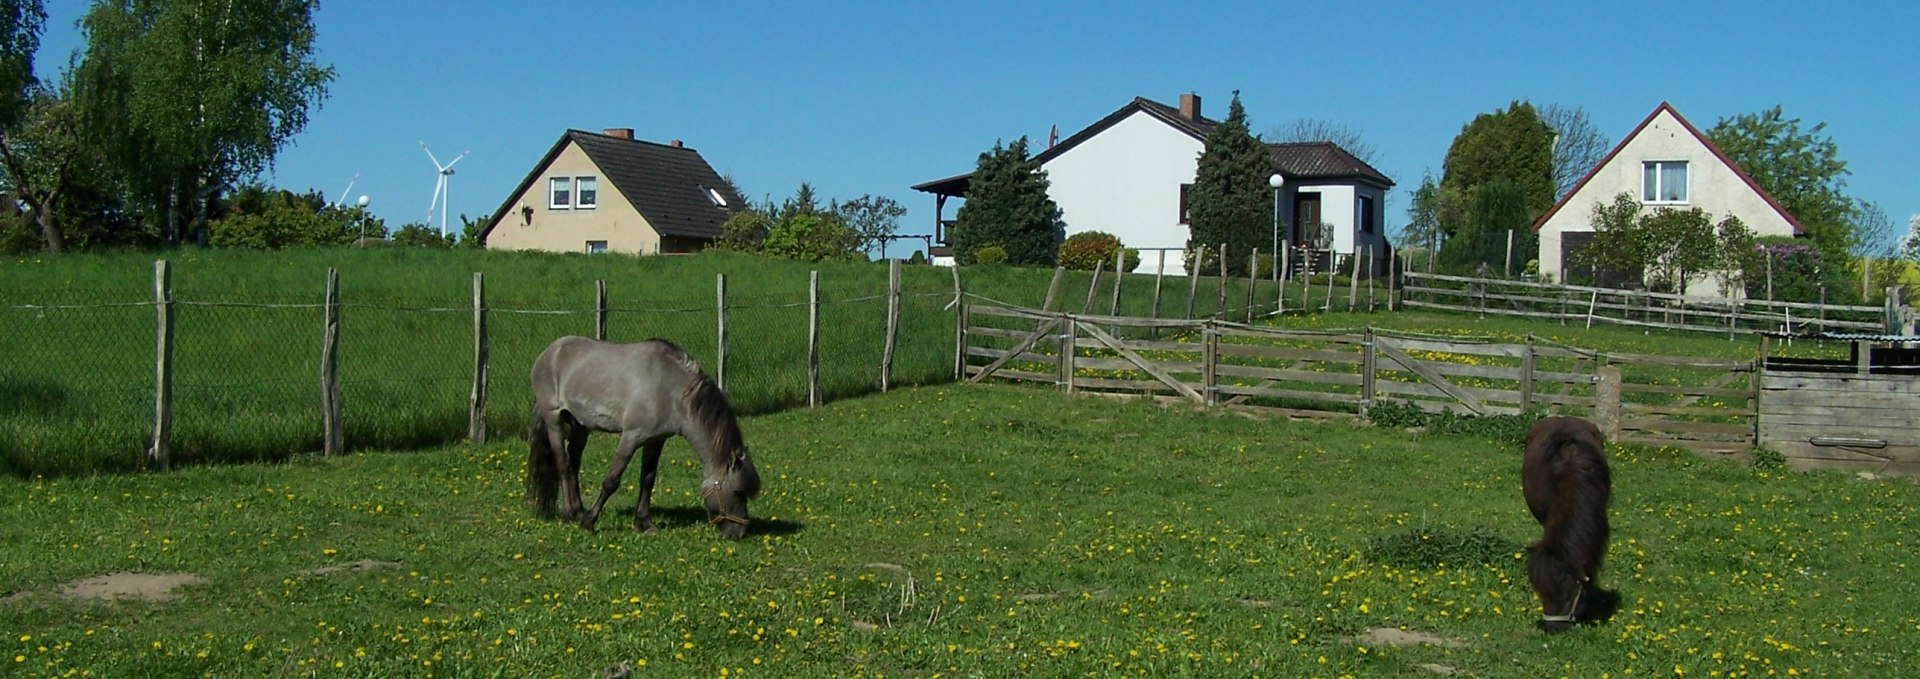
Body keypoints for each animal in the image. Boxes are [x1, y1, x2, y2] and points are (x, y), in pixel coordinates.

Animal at [533, 337, 764, 537]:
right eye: (738, 491)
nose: (739, 533)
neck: (670, 390)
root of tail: (549, 352)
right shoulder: (631, 437)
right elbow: (611, 480)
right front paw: (589, 521)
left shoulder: (656, 440)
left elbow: (647, 479)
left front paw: (644, 523)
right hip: (554, 421)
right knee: (563, 465)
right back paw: (569, 514)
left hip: (581, 425)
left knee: (574, 463)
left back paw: (578, 510)